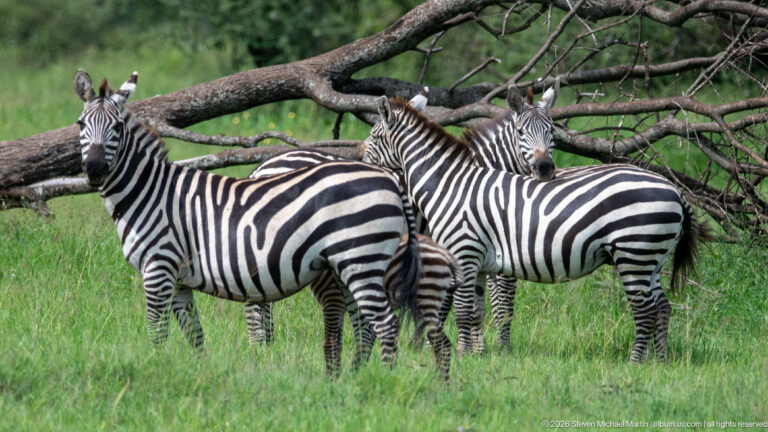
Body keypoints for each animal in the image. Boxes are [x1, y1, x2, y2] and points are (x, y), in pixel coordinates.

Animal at [72, 69, 422, 373]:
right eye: (80, 124)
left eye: (117, 127)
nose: (94, 170)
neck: (149, 193)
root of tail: (389, 178)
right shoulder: (180, 280)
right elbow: (195, 335)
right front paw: (199, 374)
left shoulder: (159, 268)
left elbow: (157, 334)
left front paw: (154, 369)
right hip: (350, 263)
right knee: (365, 325)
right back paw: (354, 376)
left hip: (361, 258)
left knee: (385, 324)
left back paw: (381, 379)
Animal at [363, 96, 709, 362]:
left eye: (374, 138)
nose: (364, 167)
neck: (449, 184)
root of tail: (673, 189)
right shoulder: (479, 261)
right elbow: (476, 310)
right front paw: (477, 355)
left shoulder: (464, 252)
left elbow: (462, 309)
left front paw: (461, 356)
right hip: (652, 257)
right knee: (662, 306)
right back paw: (659, 361)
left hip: (635, 253)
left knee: (645, 309)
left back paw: (636, 362)